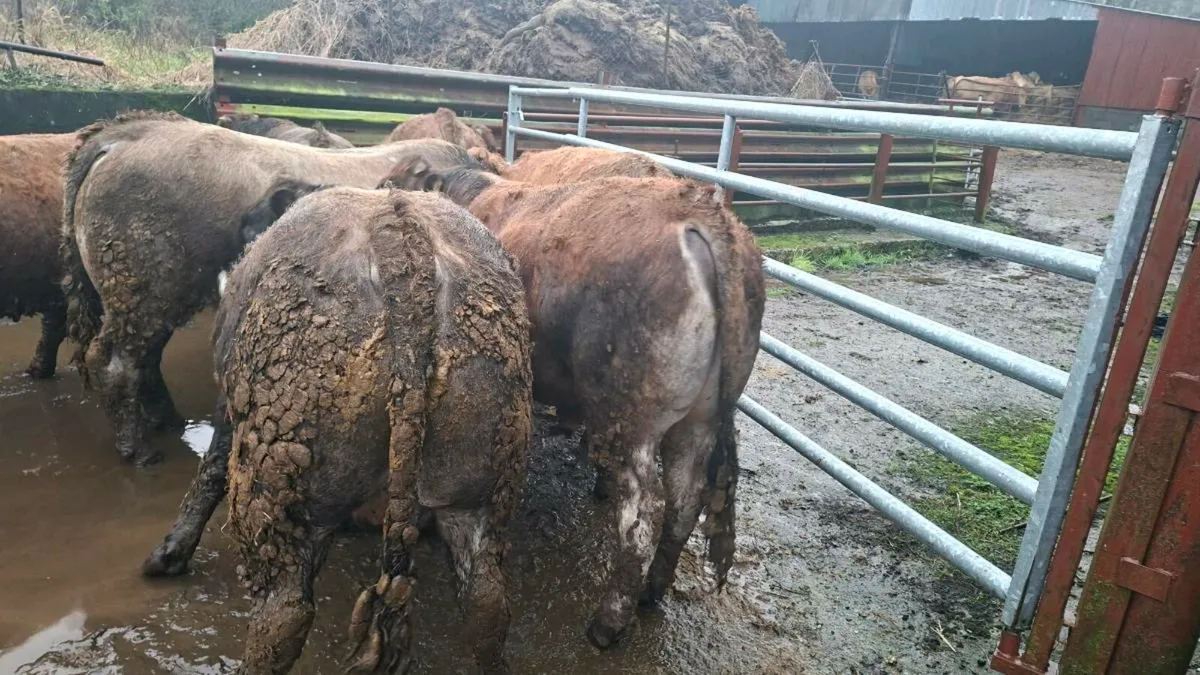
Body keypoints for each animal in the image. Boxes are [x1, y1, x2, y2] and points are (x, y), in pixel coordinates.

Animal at [144, 186, 532, 674]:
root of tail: (401, 239)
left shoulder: (231, 405)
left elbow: (211, 468)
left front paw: (169, 553)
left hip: (280, 479)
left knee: (284, 615)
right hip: (480, 477)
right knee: (487, 605)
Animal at [382, 162, 765, 649]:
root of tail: (703, 212)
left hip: (635, 417)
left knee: (643, 515)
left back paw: (608, 622)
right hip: (698, 421)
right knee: (684, 502)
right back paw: (653, 591)